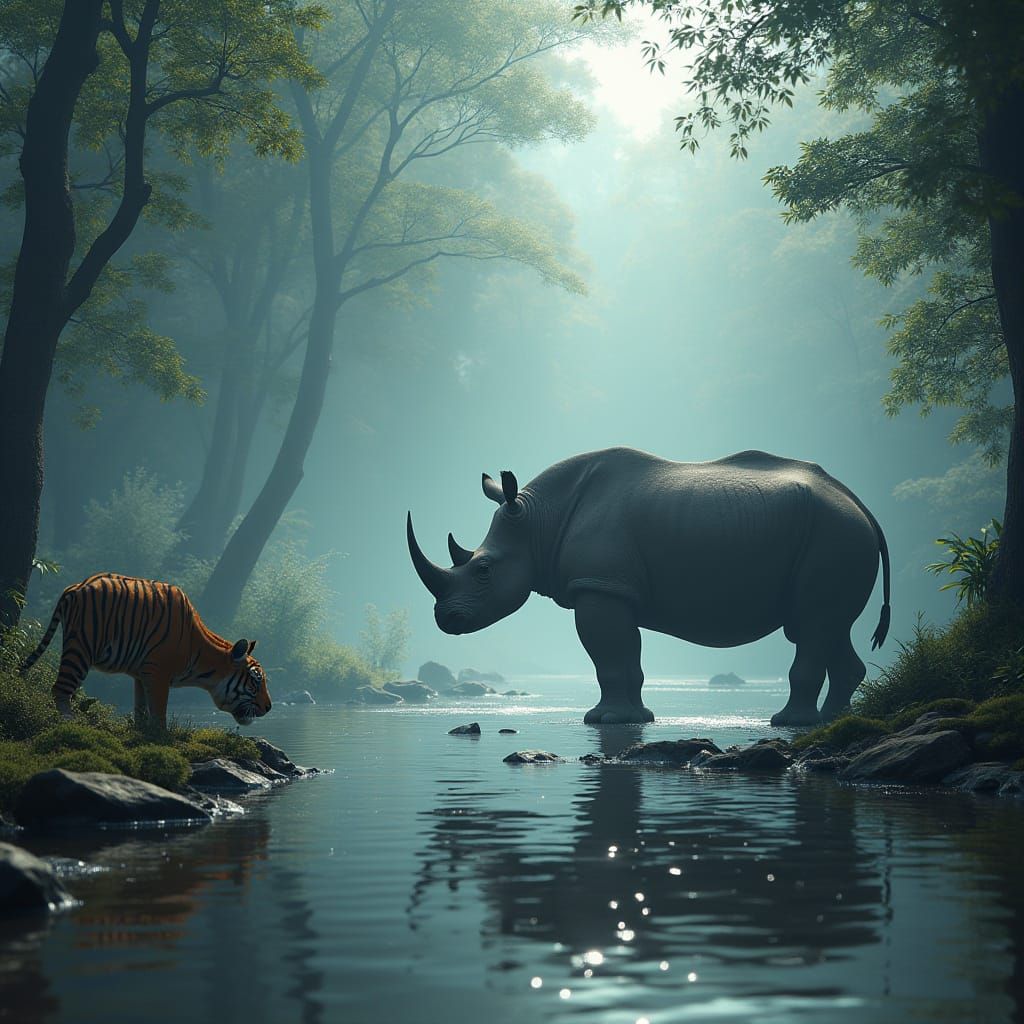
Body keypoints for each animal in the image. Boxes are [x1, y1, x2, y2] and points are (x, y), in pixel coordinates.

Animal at [407, 447, 890, 726]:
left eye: (483, 569)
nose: (444, 619)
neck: (538, 520)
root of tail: (862, 505)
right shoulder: (614, 588)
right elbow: (628, 658)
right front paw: (636, 718)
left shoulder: (599, 586)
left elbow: (608, 656)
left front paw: (601, 719)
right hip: (837, 533)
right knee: (827, 624)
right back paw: (832, 722)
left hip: (834, 532)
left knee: (812, 624)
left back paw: (789, 723)